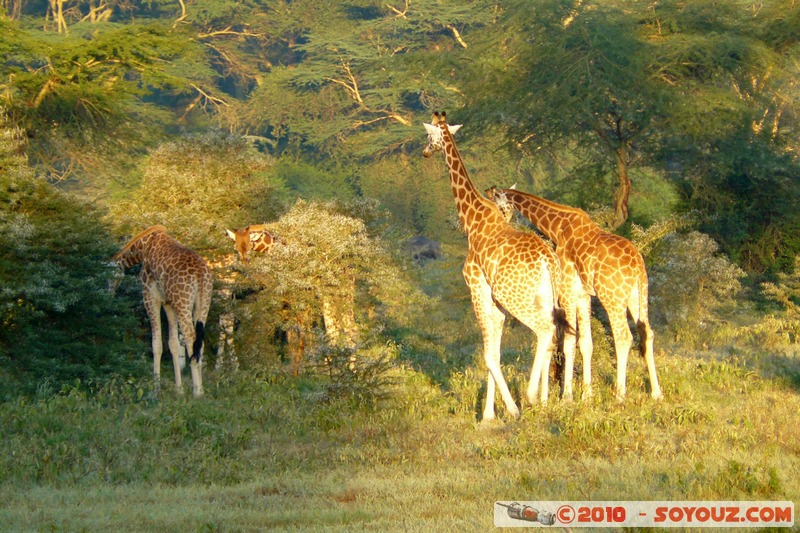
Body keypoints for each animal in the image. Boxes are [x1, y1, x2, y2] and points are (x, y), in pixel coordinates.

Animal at [113, 223, 212, 394]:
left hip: (183, 303)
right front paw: (179, 390)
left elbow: (157, 344)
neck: (142, 247)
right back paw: (202, 389)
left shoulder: (150, 297)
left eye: (111, 278)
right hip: (203, 302)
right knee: (200, 341)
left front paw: (156, 388)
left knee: (191, 337)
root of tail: (200, 272)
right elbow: (173, 343)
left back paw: (197, 392)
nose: (110, 293)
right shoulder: (168, 303)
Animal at [422, 112, 572, 420]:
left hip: (516, 297)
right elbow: (496, 352)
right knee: (552, 336)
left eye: (429, 135)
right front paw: (490, 414)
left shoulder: (477, 289)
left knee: (543, 330)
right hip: (545, 297)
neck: (471, 218)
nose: (425, 151)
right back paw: (544, 400)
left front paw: (503, 411)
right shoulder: (496, 302)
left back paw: (529, 397)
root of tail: (547, 261)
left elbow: (488, 355)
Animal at [488, 185, 664, 402]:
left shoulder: (567, 293)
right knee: (647, 332)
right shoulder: (583, 296)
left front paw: (567, 396)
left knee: (623, 337)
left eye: (498, 205)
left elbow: (569, 343)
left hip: (612, 297)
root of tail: (638, 264)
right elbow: (586, 343)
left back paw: (620, 396)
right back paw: (656, 393)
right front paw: (587, 395)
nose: (501, 224)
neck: (558, 228)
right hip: (637, 295)